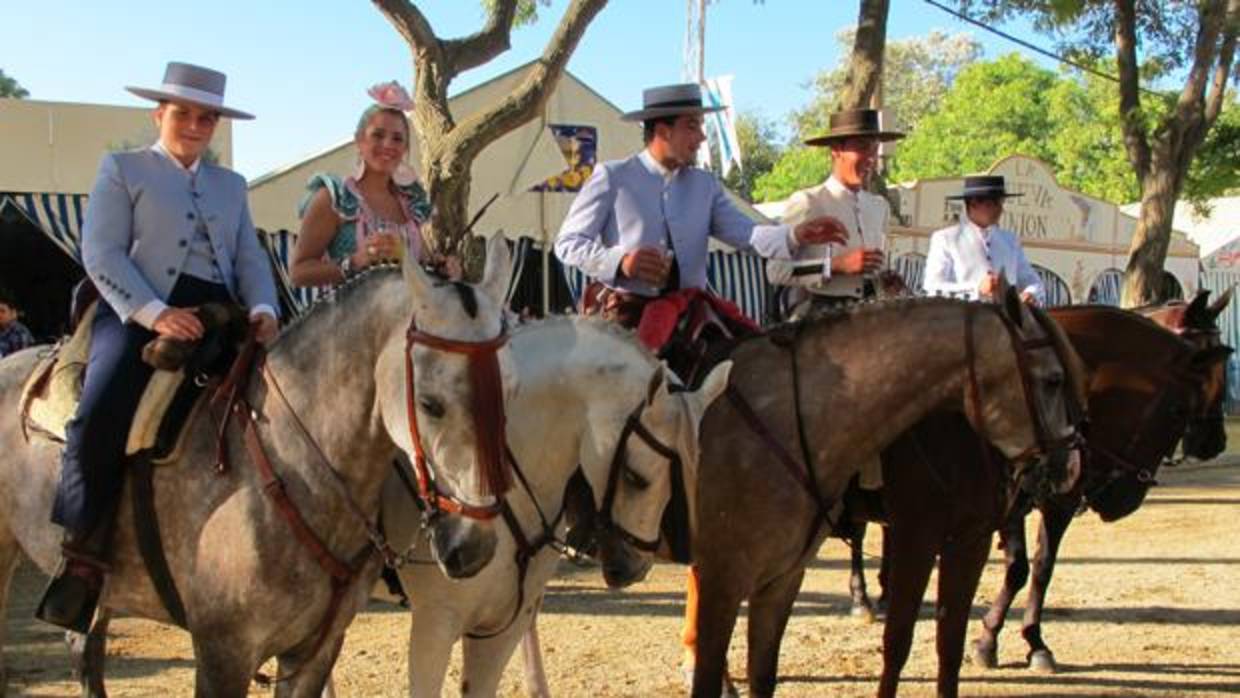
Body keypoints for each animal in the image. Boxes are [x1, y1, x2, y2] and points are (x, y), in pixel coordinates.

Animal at [689, 290, 1086, 698]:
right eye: (1054, 380)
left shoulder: (969, 540)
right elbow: (898, 640)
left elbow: (950, 642)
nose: (1071, 467)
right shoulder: (915, 536)